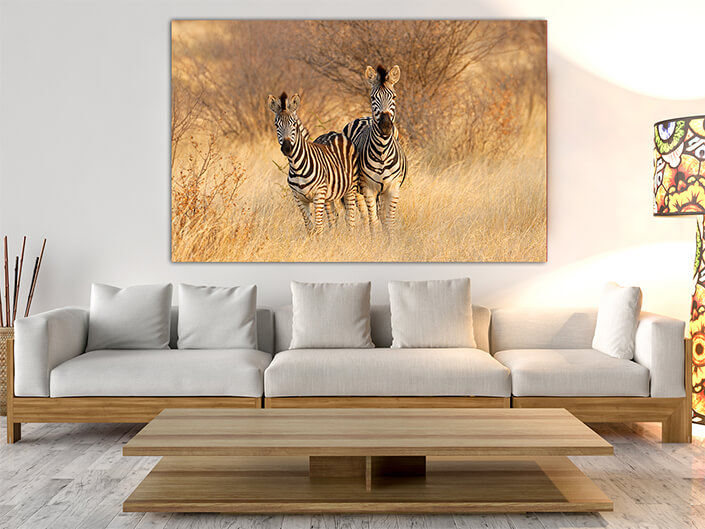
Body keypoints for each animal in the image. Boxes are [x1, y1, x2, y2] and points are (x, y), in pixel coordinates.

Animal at [267, 92, 359, 235]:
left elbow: (319, 226)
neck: (297, 166)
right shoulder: (299, 198)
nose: (287, 148)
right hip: (329, 196)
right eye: (276, 125)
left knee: (350, 218)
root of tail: (335, 133)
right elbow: (309, 227)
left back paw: (351, 236)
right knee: (333, 217)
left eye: (294, 125)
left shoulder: (318, 195)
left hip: (350, 188)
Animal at [343, 64, 407, 231]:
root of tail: (364, 117)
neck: (382, 151)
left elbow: (389, 221)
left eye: (394, 97)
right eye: (372, 98)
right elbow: (373, 221)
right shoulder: (368, 188)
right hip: (357, 189)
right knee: (365, 217)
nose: (385, 126)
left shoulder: (393, 188)